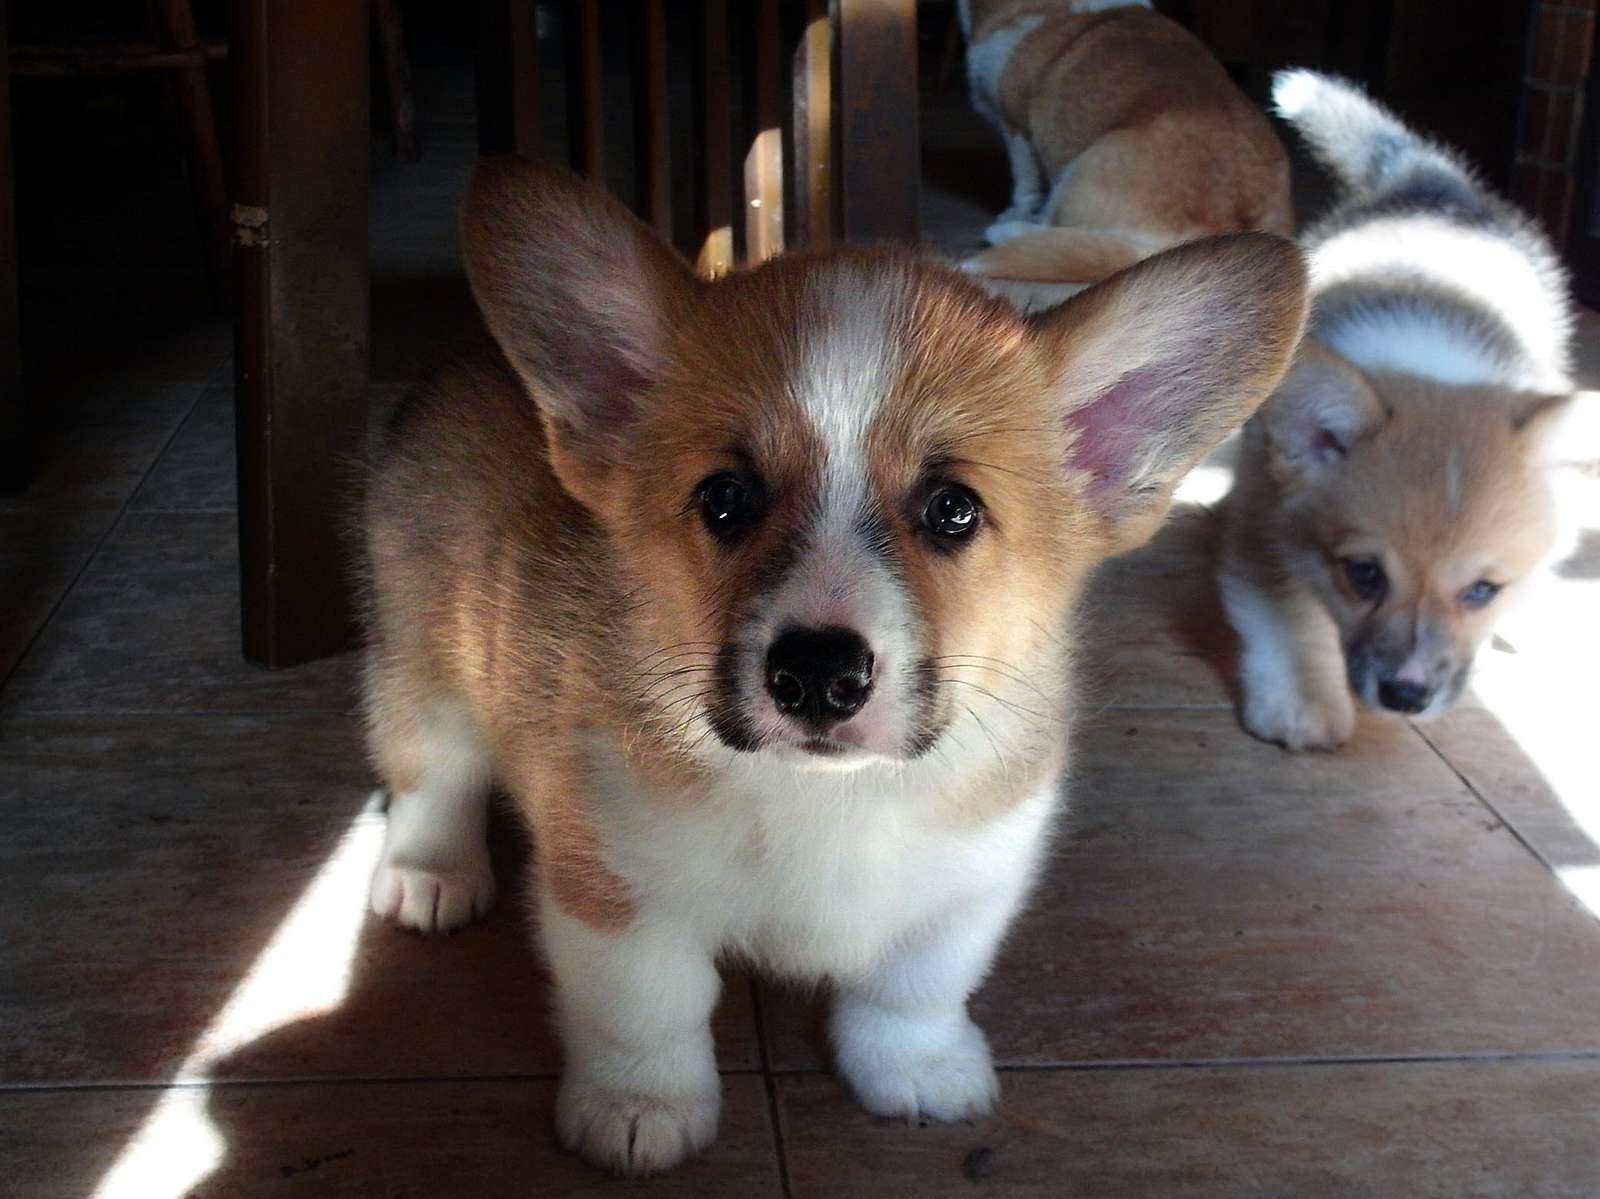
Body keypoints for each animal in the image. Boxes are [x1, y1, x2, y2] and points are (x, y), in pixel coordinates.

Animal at [366, 156, 1312, 1171]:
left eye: (953, 509)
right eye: (726, 497)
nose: (818, 673)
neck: (829, 797)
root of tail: (464, 363)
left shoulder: (975, 878)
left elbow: (915, 984)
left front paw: (919, 1069)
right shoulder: (612, 884)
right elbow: (645, 1004)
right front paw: (639, 1106)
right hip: (423, 658)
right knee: (431, 773)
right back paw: (430, 873)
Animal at [1216, 67, 1568, 749]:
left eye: (1482, 589)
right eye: (1365, 575)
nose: (1406, 697)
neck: (1432, 363)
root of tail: (1425, 181)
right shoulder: (1263, 506)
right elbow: (1284, 608)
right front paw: (1302, 700)